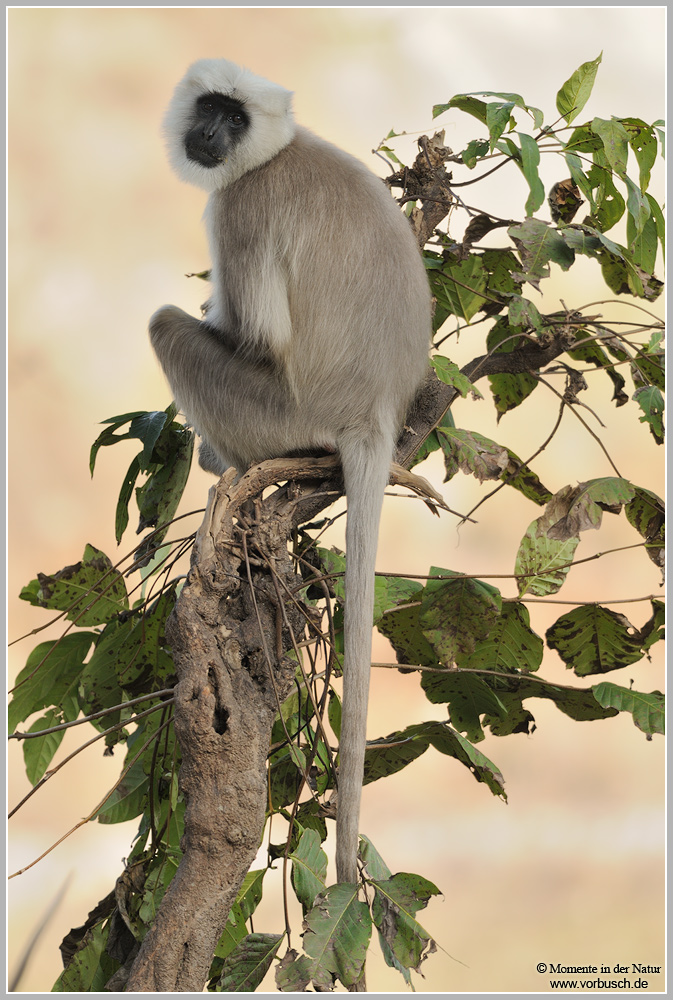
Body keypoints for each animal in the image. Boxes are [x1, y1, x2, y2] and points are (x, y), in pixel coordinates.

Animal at [148, 60, 430, 884]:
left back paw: (227, 463)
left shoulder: (240, 206)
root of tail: (373, 410)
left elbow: (256, 337)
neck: (275, 150)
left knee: (167, 325)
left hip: (281, 415)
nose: (210, 133)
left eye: (235, 119)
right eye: (211, 108)